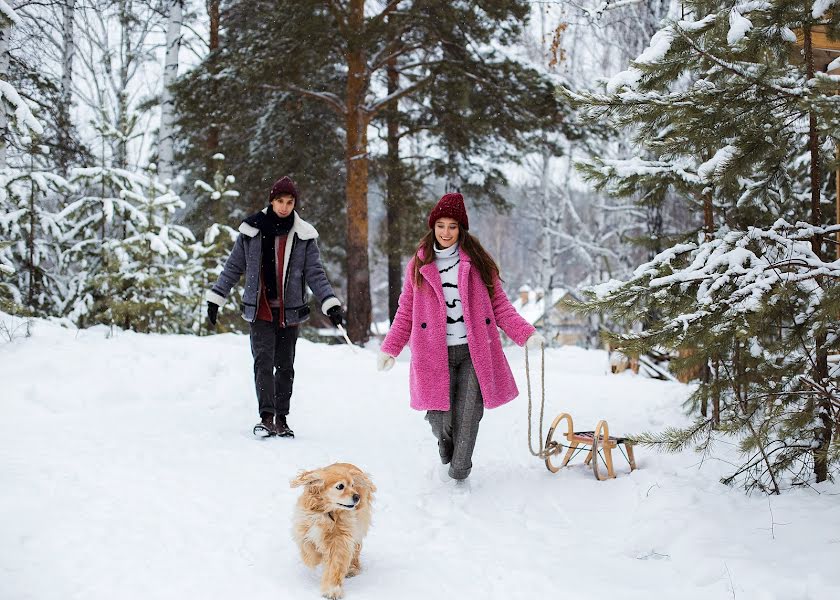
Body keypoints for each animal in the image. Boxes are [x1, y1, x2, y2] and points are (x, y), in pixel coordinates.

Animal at [292, 462, 378, 596]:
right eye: (340, 486)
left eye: (353, 485)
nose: (357, 496)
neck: (326, 512)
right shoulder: (303, 528)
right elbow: (308, 550)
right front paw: (315, 559)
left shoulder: (340, 540)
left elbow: (335, 565)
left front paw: (332, 590)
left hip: (359, 527)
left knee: (356, 549)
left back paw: (352, 568)